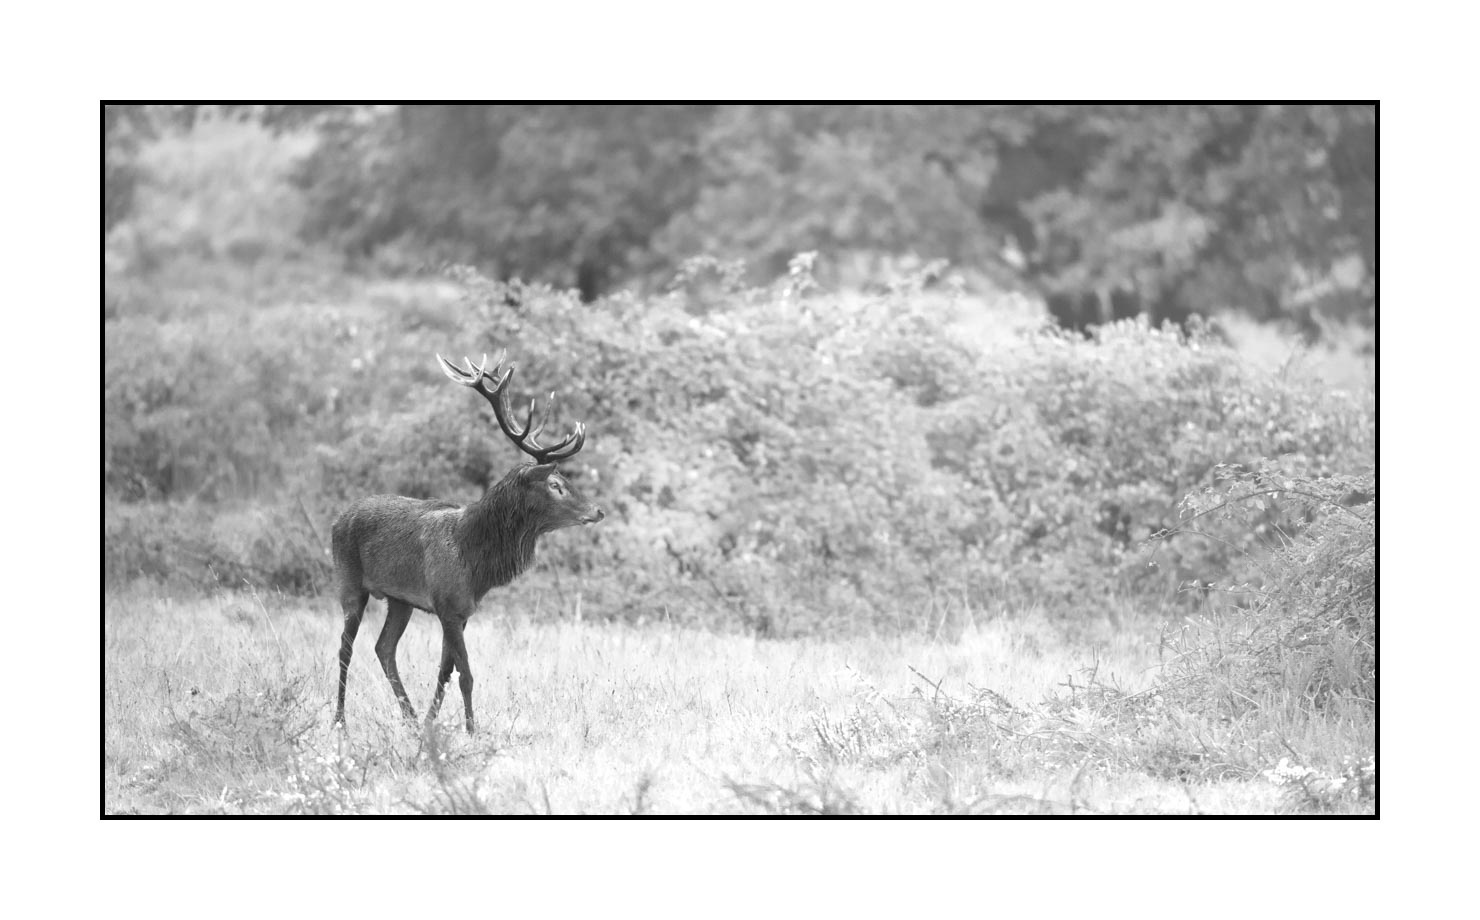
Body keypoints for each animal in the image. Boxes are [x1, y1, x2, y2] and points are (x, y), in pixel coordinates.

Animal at [331, 351, 604, 733]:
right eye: (555, 484)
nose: (597, 510)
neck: (476, 562)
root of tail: (337, 520)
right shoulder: (447, 606)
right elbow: (466, 675)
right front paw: (472, 730)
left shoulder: (461, 612)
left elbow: (445, 671)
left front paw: (429, 724)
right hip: (349, 582)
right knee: (345, 649)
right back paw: (340, 720)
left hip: (400, 600)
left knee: (383, 648)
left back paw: (409, 718)